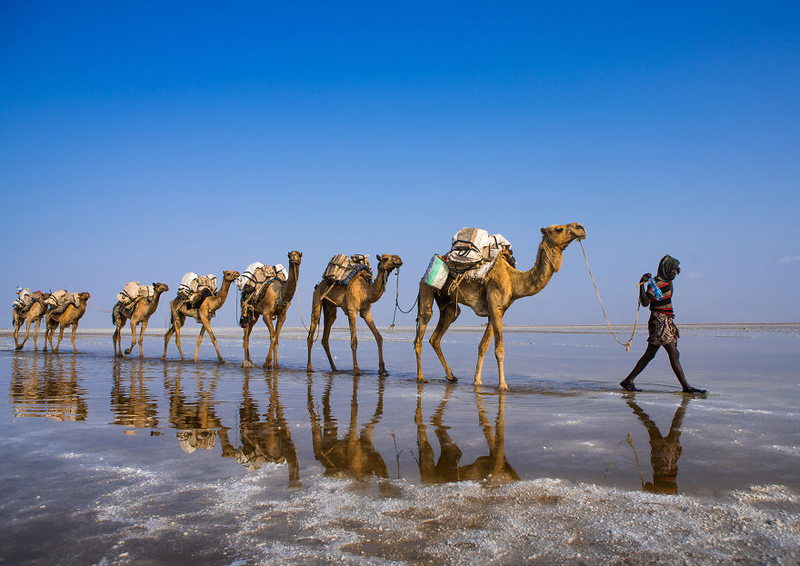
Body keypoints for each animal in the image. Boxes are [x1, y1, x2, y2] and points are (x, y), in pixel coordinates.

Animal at [416, 224, 584, 392]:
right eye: (559, 229)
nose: (580, 228)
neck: (513, 279)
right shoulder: (496, 306)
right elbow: (499, 350)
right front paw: (503, 385)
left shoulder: (495, 310)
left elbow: (483, 346)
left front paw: (477, 381)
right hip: (426, 288)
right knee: (422, 326)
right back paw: (421, 377)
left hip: (447, 302)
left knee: (439, 331)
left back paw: (451, 376)